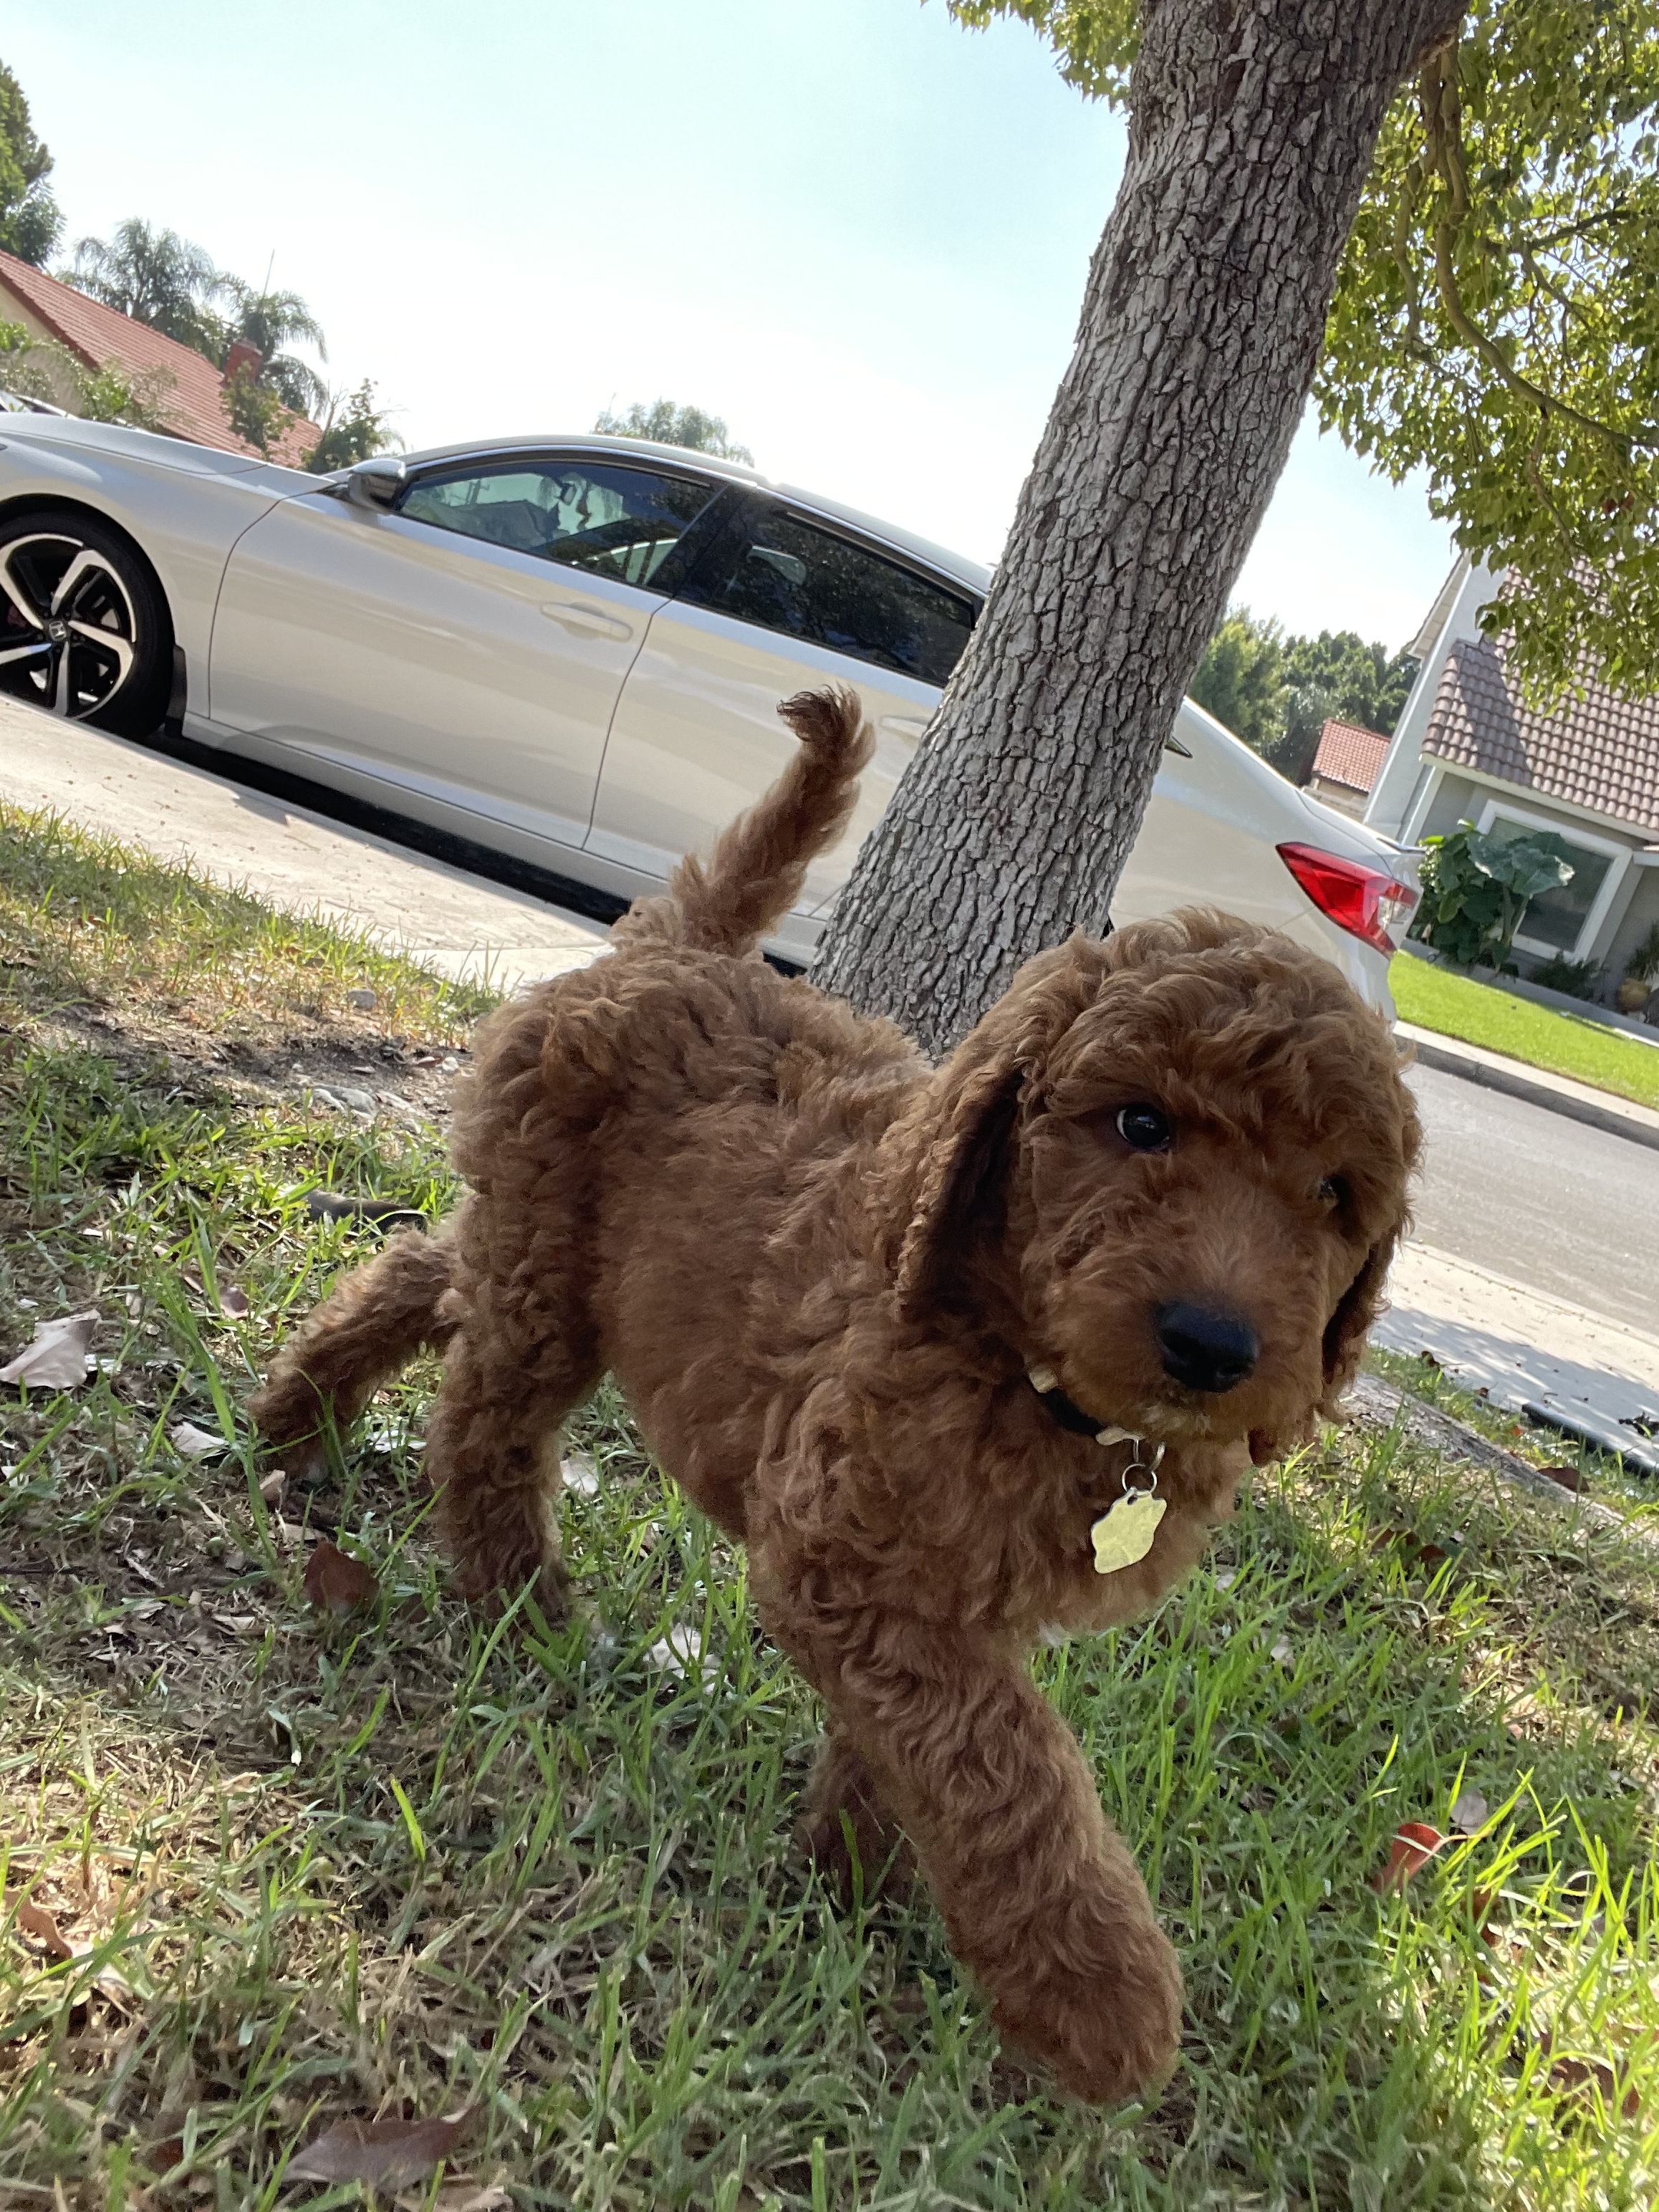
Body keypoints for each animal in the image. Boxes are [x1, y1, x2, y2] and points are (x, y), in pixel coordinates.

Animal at [252, 685, 1419, 2105]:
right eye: (1141, 1124)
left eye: (1333, 1195)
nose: (1214, 1345)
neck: (1022, 1362)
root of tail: (679, 948)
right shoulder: (848, 1551)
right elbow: (1005, 1762)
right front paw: (1098, 1994)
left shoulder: (940, 1593)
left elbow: (916, 1742)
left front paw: (848, 1879)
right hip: (550, 1280)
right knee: (484, 1419)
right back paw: (518, 1599)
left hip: (542, 1253)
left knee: (429, 1274)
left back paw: (301, 1413)